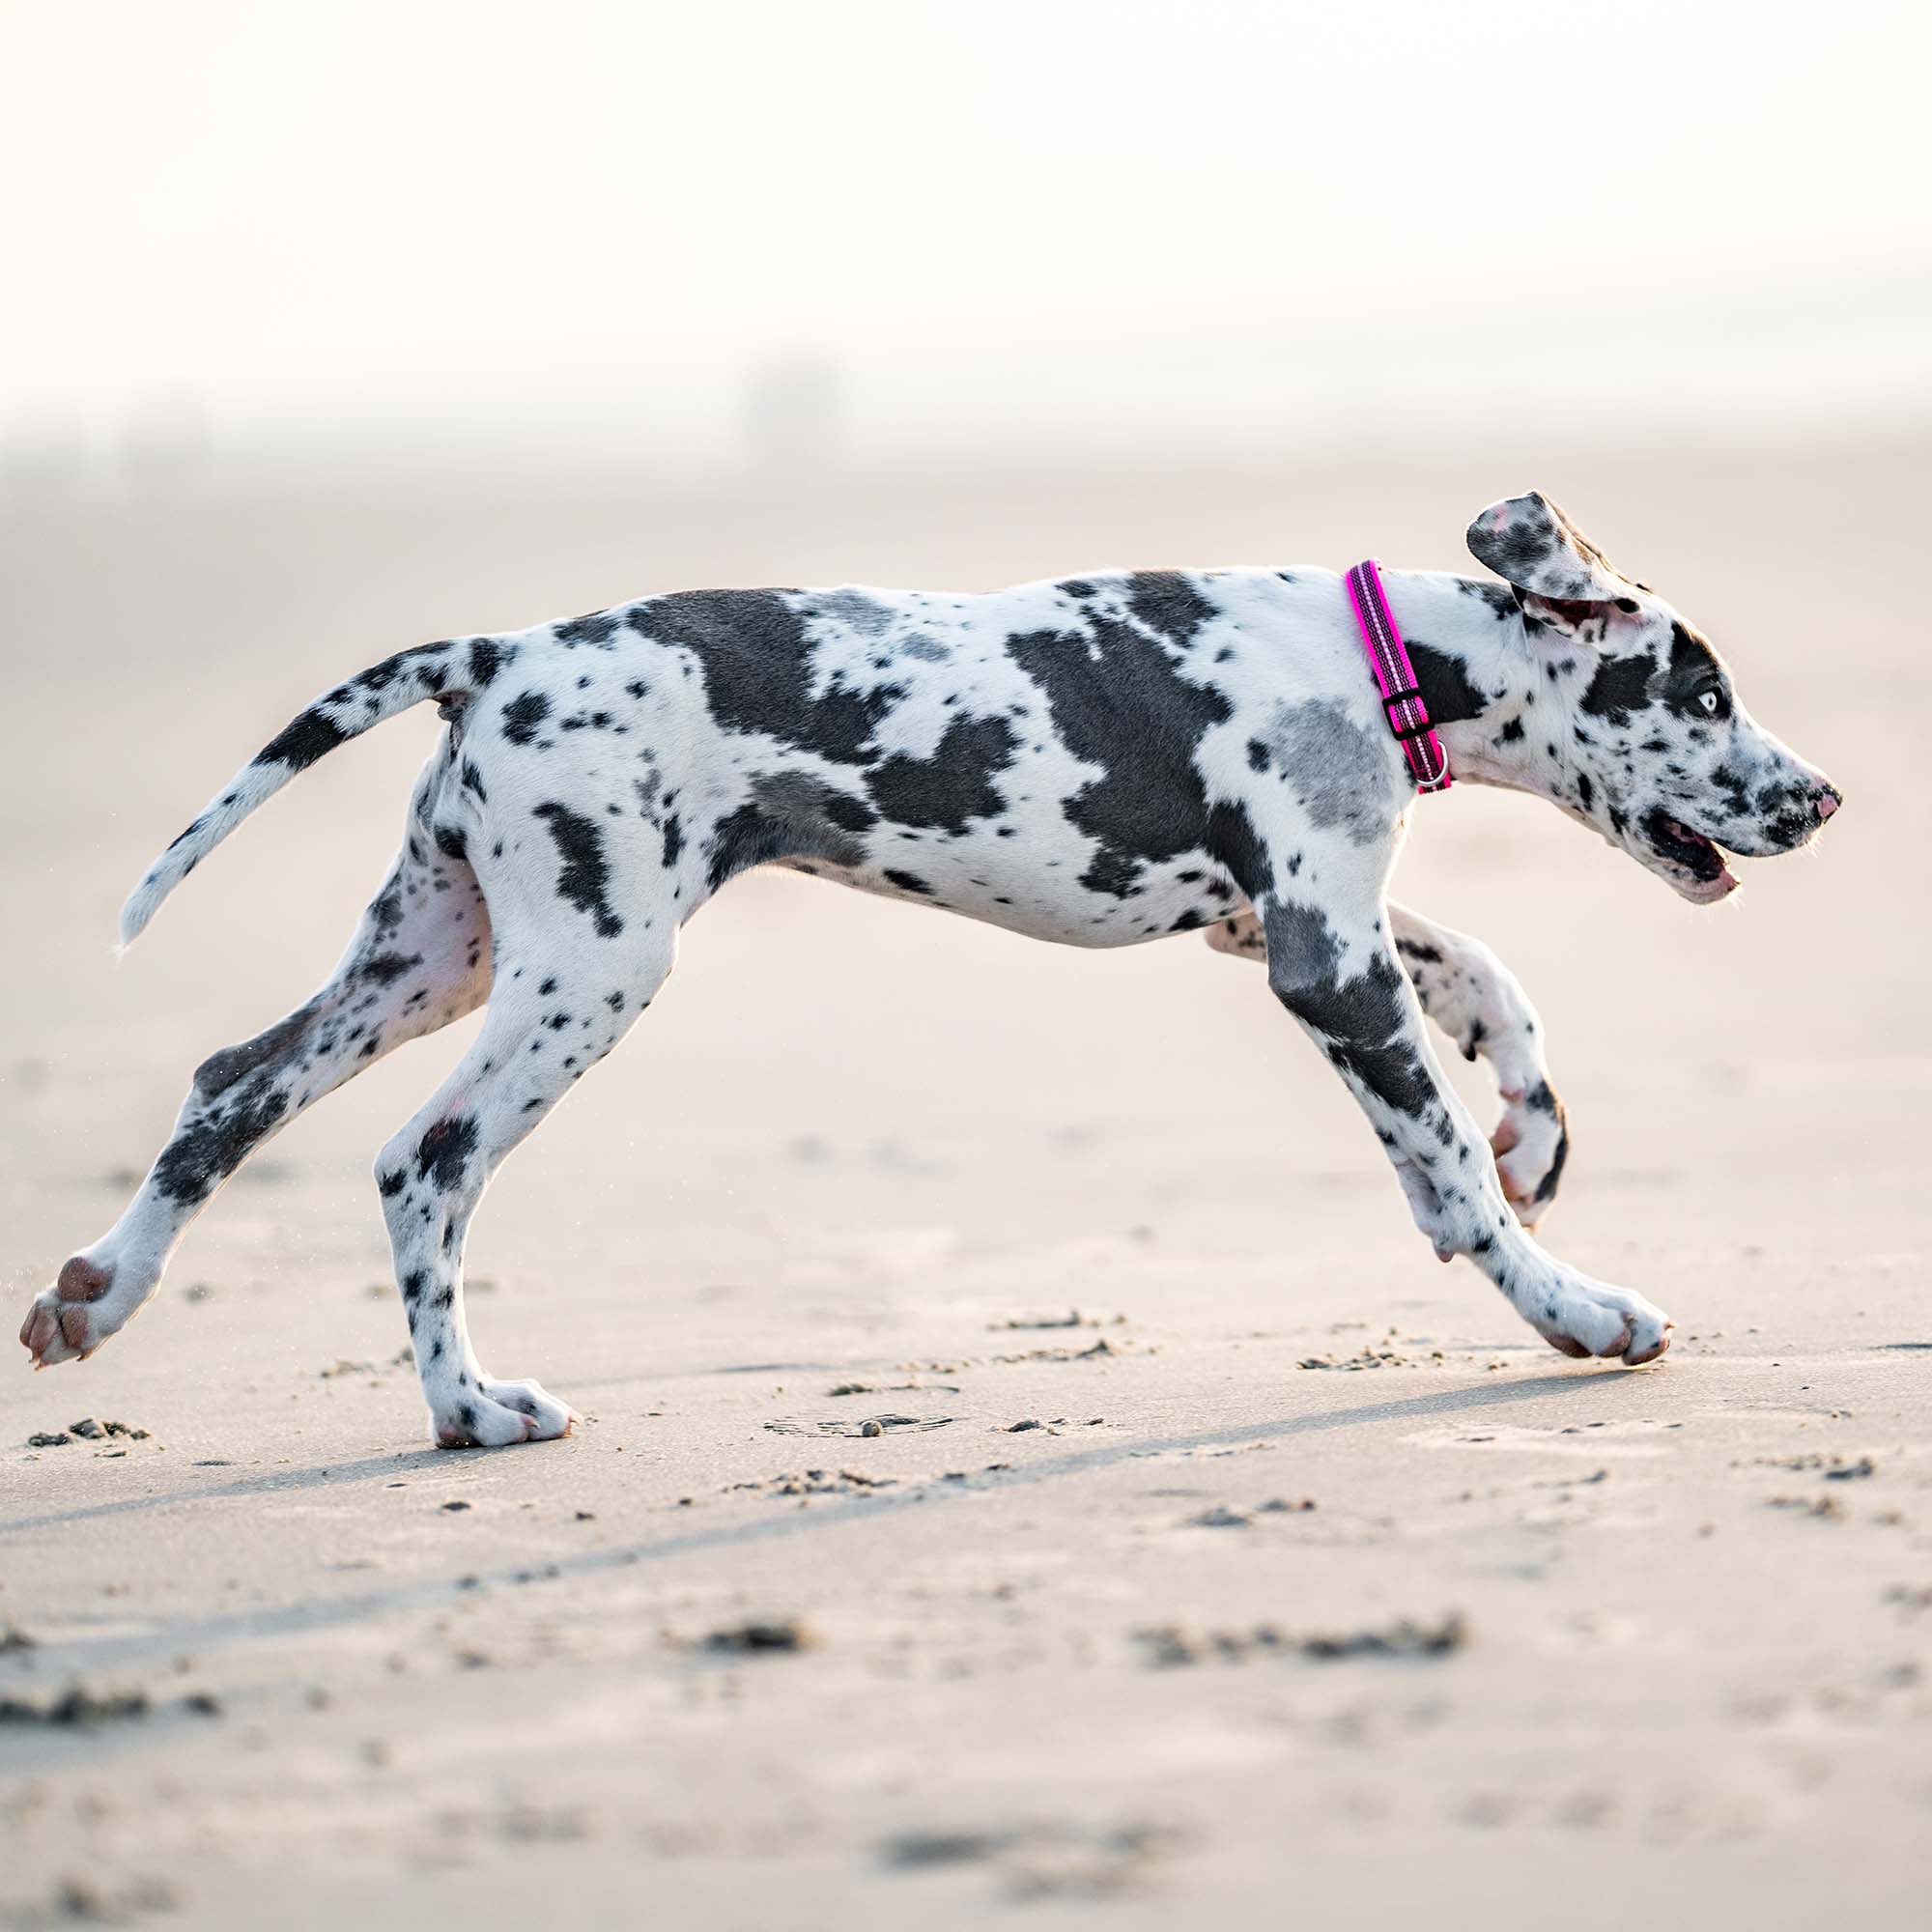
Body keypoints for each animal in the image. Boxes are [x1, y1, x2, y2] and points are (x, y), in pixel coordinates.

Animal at [26, 491, 1839, 1445]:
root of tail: (501, 652)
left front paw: (1538, 1120)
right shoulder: (1319, 960)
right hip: (589, 966)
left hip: (439, 952)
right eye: (1699, 691)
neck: (1380, 658)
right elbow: (1447, 1178)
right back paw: (471, 1409)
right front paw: (1575, 1306)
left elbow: (1491, 973)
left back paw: (99, 1294)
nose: (1820, 797)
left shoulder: (1285, 917)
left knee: (228, 1088)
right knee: (425, 1159)